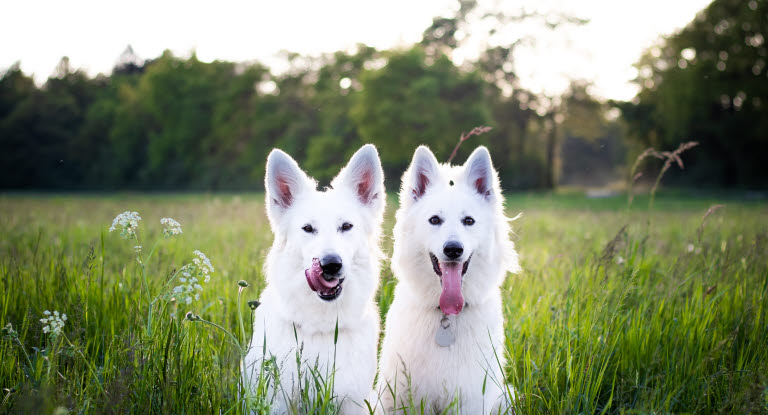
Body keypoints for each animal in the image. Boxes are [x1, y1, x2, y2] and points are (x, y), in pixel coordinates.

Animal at [244, 145, 388, 414]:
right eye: (308, 229)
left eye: (346, 226)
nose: (330, 264)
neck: (321, 328)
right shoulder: (277, 401)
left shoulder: (352, 402)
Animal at [376, 145, 520, 412]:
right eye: (435, 220)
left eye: (469, 221)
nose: (453, 249)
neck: (446, 317)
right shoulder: (403, 397)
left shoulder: (471, 399)